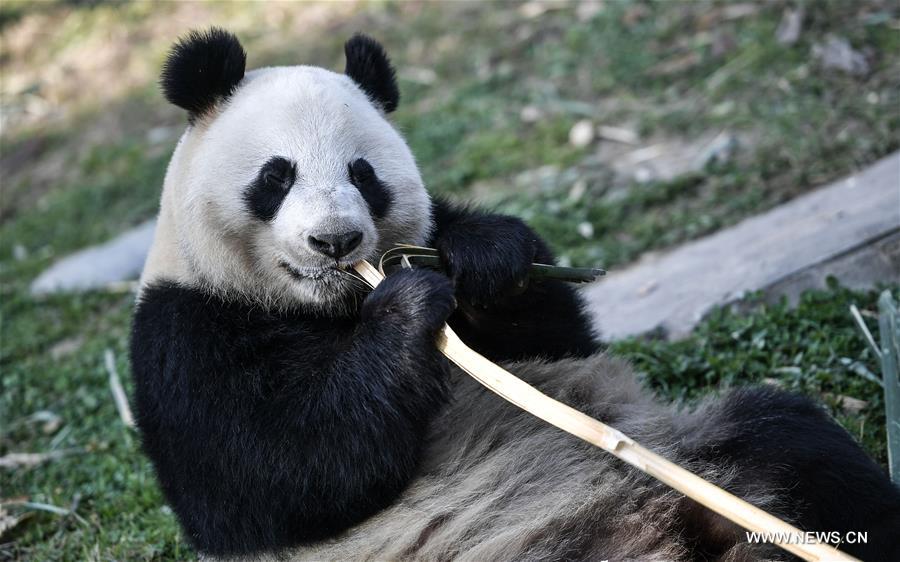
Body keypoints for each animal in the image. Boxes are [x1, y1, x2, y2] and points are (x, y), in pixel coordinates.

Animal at [131, 28, 900, 561]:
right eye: (277, 176)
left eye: (363, 174)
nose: (336, 242)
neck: (325, 309)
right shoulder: (184, 332)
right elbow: (282, 471)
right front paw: (407, 310)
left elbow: (556, 338)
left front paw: (486, 260)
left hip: (698, 451)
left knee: (791, 444)